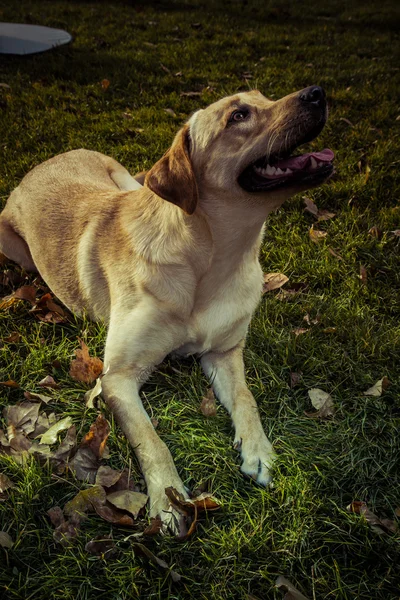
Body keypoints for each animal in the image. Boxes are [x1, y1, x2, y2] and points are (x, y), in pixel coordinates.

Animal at [0, 86, 334, 532]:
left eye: (263, 97)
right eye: (239, 115)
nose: (317, 93)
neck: (212, 260)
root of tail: (44, 162)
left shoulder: (224, 352)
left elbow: (246, 398)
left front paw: (258, 450)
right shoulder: (118, 378)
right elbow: (151, 440)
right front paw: (169, 499)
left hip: (124, 177)